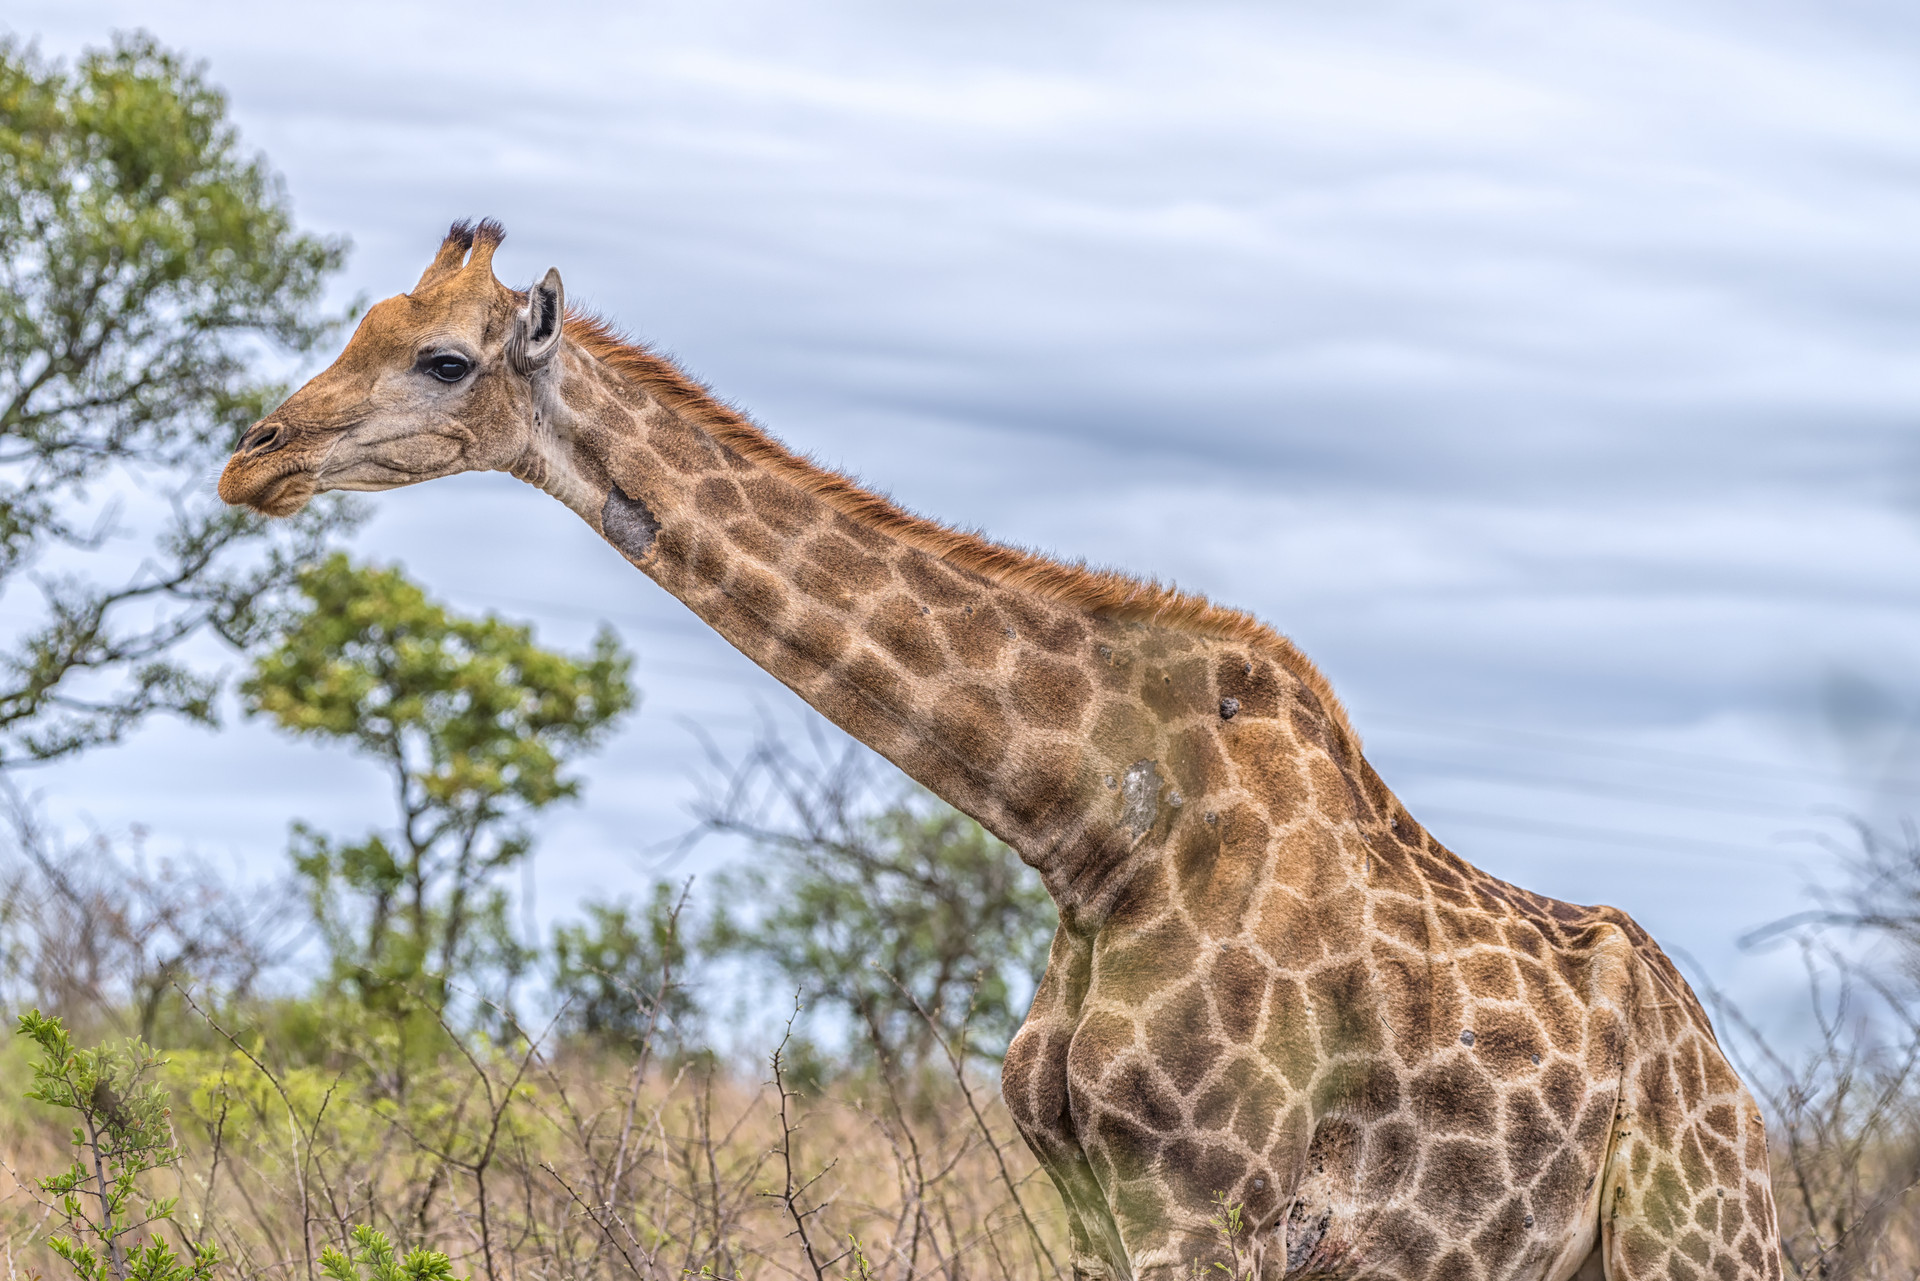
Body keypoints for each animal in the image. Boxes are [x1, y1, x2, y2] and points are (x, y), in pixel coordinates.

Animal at [217, 222, 1774, 1281]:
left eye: (443, 359)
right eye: (360, 325)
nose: (254, 455)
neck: (1091, 831)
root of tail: (1744, 1108)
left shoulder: (1214, 1211)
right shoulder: (1091, 1205)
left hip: (1695, 1248)